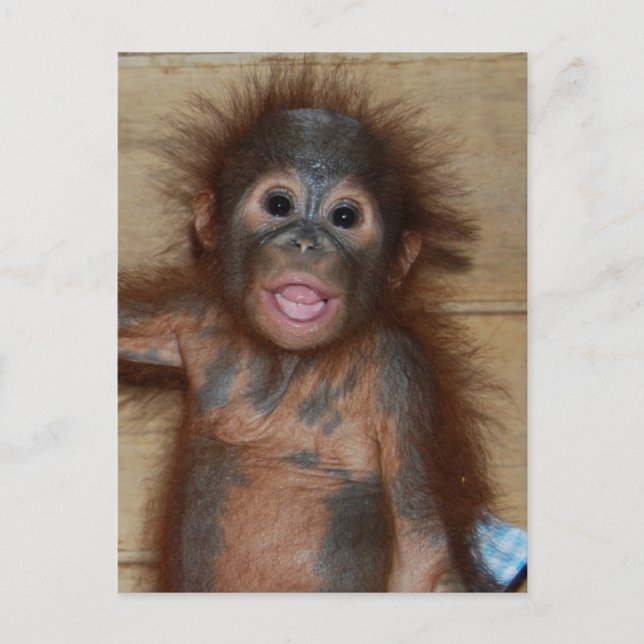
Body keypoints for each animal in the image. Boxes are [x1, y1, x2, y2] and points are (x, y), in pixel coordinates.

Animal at [119, 57, 527, 592]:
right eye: (279, 205)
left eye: (345, 216)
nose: (307, 242)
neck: (290, 360)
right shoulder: (195, 316)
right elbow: (130, 323)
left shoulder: (404, 376)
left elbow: (423, 548)